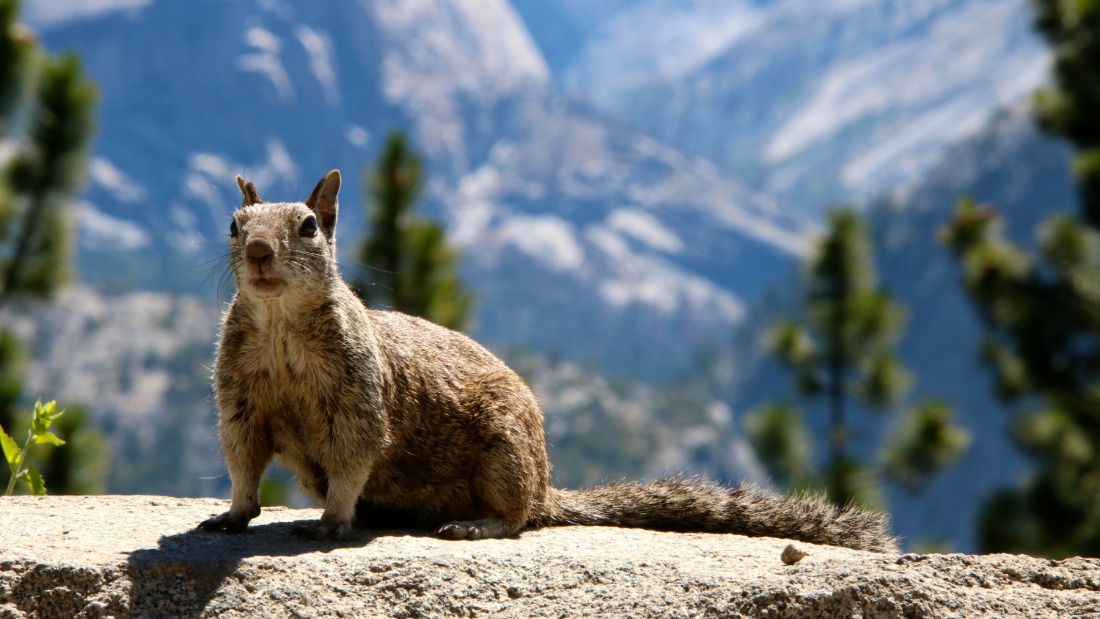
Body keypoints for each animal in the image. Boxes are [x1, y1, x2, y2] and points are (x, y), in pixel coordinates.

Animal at [198, 167, 897, 554]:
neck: (282, 329)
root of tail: (546, 485)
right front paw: (233, 517)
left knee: (519, 520)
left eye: (310, 226)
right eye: (233, 223)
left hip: (504, 452)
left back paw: (474, 526)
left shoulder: (357, 397)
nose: (257, 251)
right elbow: (242, 460)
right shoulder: (239, 398)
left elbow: (353, 457)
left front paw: (332, 523)